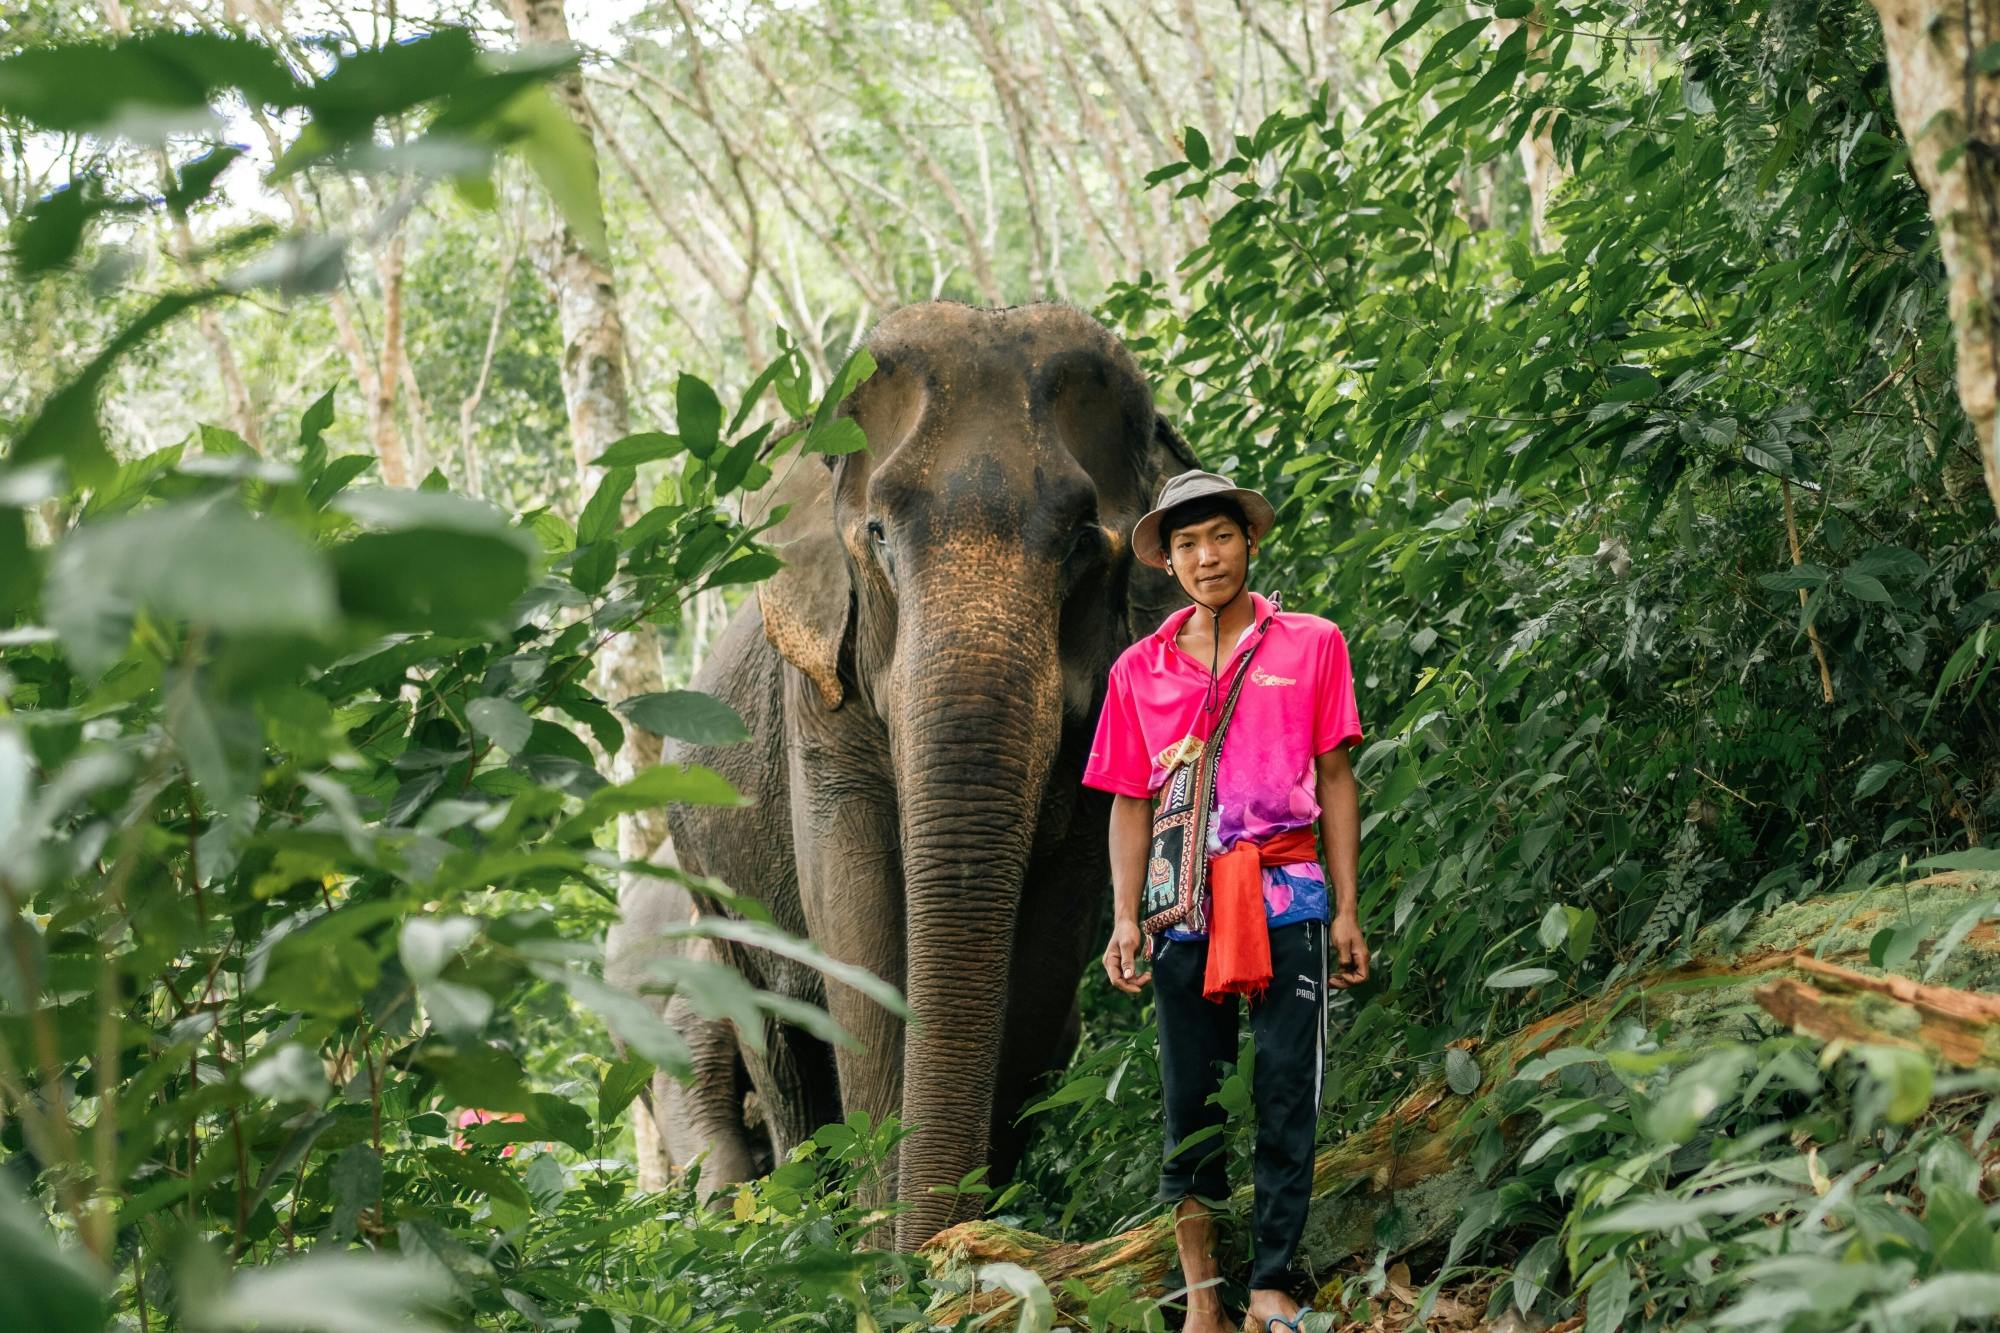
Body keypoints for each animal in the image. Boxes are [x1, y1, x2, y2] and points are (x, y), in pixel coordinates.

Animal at [606, 300, 1198, 1249]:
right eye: (878, 534)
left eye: (1084, 541)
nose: (928, 1251)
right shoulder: (821, 690)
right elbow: (860, 917)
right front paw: (890, 1249)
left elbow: (1054, 932)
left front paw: (973, 1234)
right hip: (707, 888)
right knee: (773, 1042)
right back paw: (805, 1223)